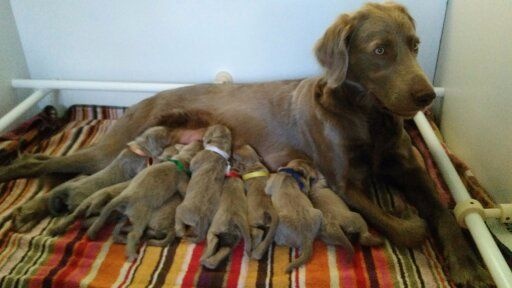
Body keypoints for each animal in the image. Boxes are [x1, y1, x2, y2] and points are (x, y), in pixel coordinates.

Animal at [0, 2, 492, 286]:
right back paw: (20, 188)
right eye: (380, 50)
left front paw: (468, 267)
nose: (426, 96)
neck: (368, 117)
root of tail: (145, 99)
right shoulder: (344, 183)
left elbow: (446, 213)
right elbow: (406, 227)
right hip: (116, 144)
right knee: (47, 160)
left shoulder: (409, 168)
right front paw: (413, 224)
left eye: (415, 45)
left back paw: (36, 203)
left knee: (63, 171)